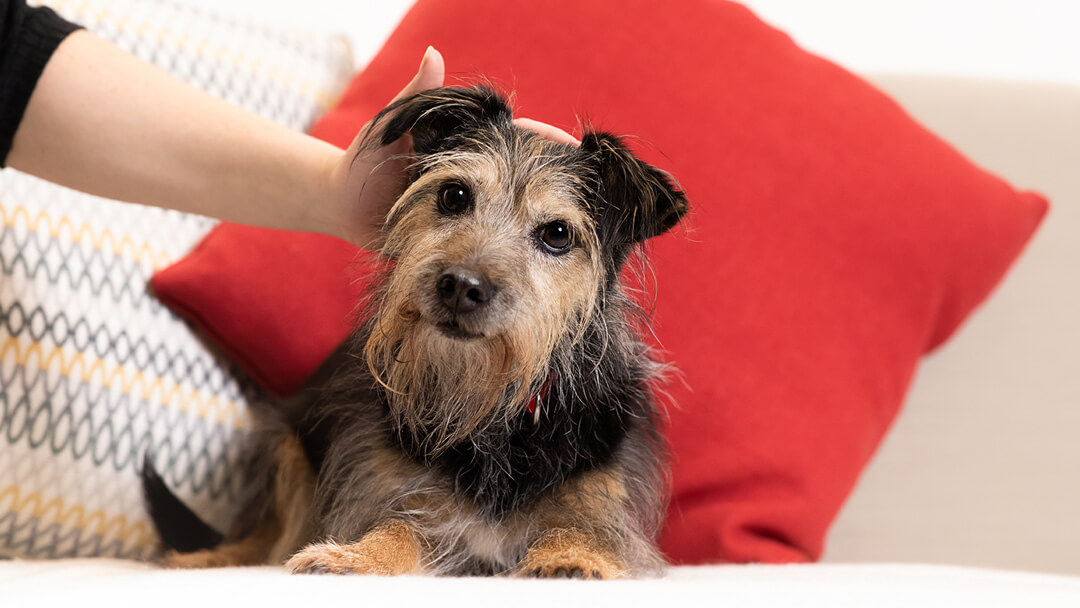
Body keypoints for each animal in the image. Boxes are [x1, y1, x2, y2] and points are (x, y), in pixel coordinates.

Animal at [143, 84, 686, 578]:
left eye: (556, 234)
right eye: (454, 195)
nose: (461, 286)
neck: (487, 409)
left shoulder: (603, 504)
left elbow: (583, 532)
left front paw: (570, 559)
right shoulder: (387, 491)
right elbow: (393, 527)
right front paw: (356, 558)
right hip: (290, 444)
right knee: (266, 534)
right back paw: (207, 557)